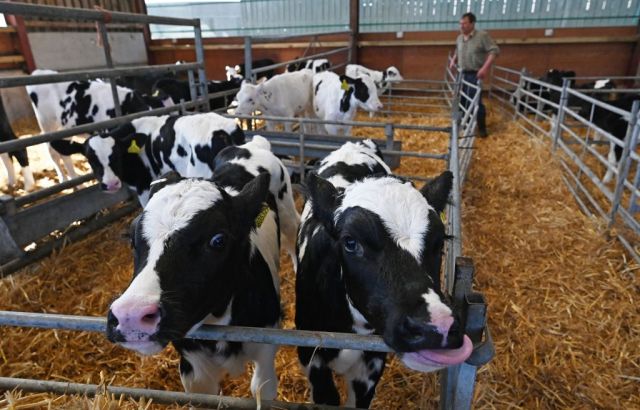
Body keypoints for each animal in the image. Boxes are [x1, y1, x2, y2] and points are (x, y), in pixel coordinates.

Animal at [26, 69, 171, 183]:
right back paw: (65, 179)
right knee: (53, 152)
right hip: (47, 125)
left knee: (63, 153)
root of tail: (39, 72)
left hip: (66, 128)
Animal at [105, 136, 299, 400]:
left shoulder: (266, 349)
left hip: (288, 211)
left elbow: (261, 388)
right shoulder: (193, 371)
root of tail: (252, 145)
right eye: (132, 239)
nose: (131, 316)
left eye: (218, 240)